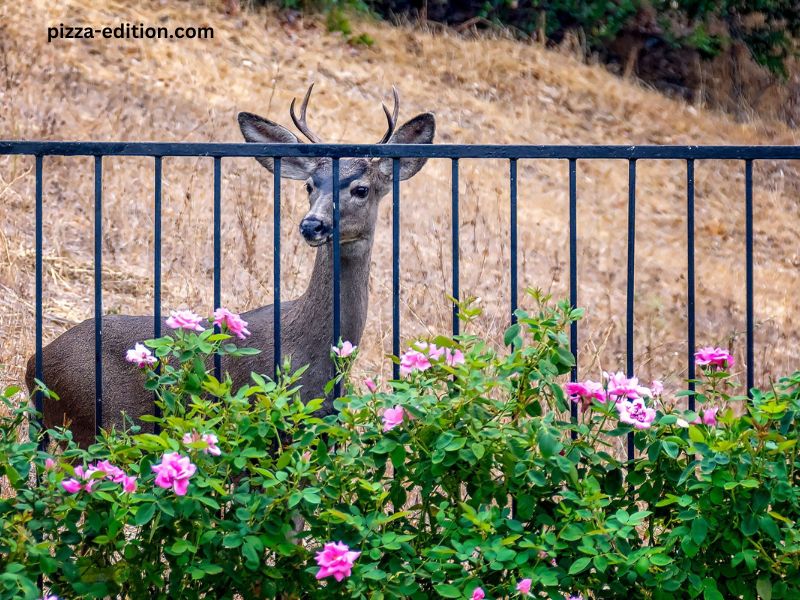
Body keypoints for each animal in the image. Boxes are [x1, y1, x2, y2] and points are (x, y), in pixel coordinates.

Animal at [25, 86, 434, 448]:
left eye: (361, 188)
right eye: (309, 186)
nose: (312, 225)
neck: (312, 351)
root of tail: (33, 368)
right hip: (96, 422)